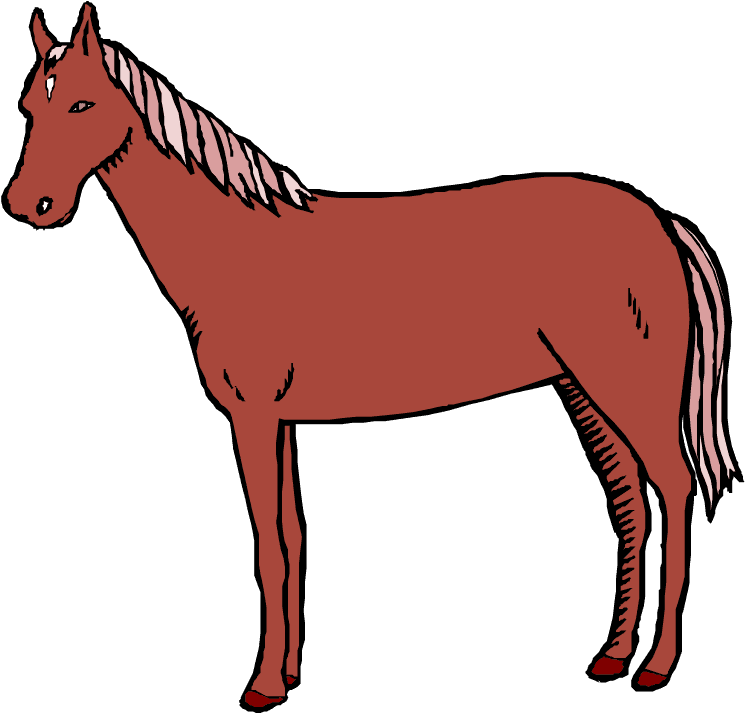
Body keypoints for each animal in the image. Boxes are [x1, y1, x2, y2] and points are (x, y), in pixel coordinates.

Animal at [3, 3, 740, 710]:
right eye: (27, 106)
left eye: (81, 105)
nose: (27, 205)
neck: (236, 249)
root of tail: (657, 219)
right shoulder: (281, 422)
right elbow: (295, 539)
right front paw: (289, 674)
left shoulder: (252, 419)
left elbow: (269, 551)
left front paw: (261, 687)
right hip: (583, 391)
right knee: (629, 505)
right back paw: (611, 656)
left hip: (627, 389)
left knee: (672, 490)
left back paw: (656, 666)